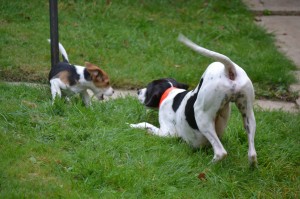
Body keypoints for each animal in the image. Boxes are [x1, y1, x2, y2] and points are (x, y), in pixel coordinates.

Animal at [131, 34, 258, 166]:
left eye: (148, 87)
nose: (138, 91)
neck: (170, 93)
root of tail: (228, 69)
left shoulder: (168, 133)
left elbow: (146, 124)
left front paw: (134, 126)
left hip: (202, 117)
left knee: (221, 152)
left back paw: (209, 165)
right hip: (248, 116)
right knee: (252, 154)